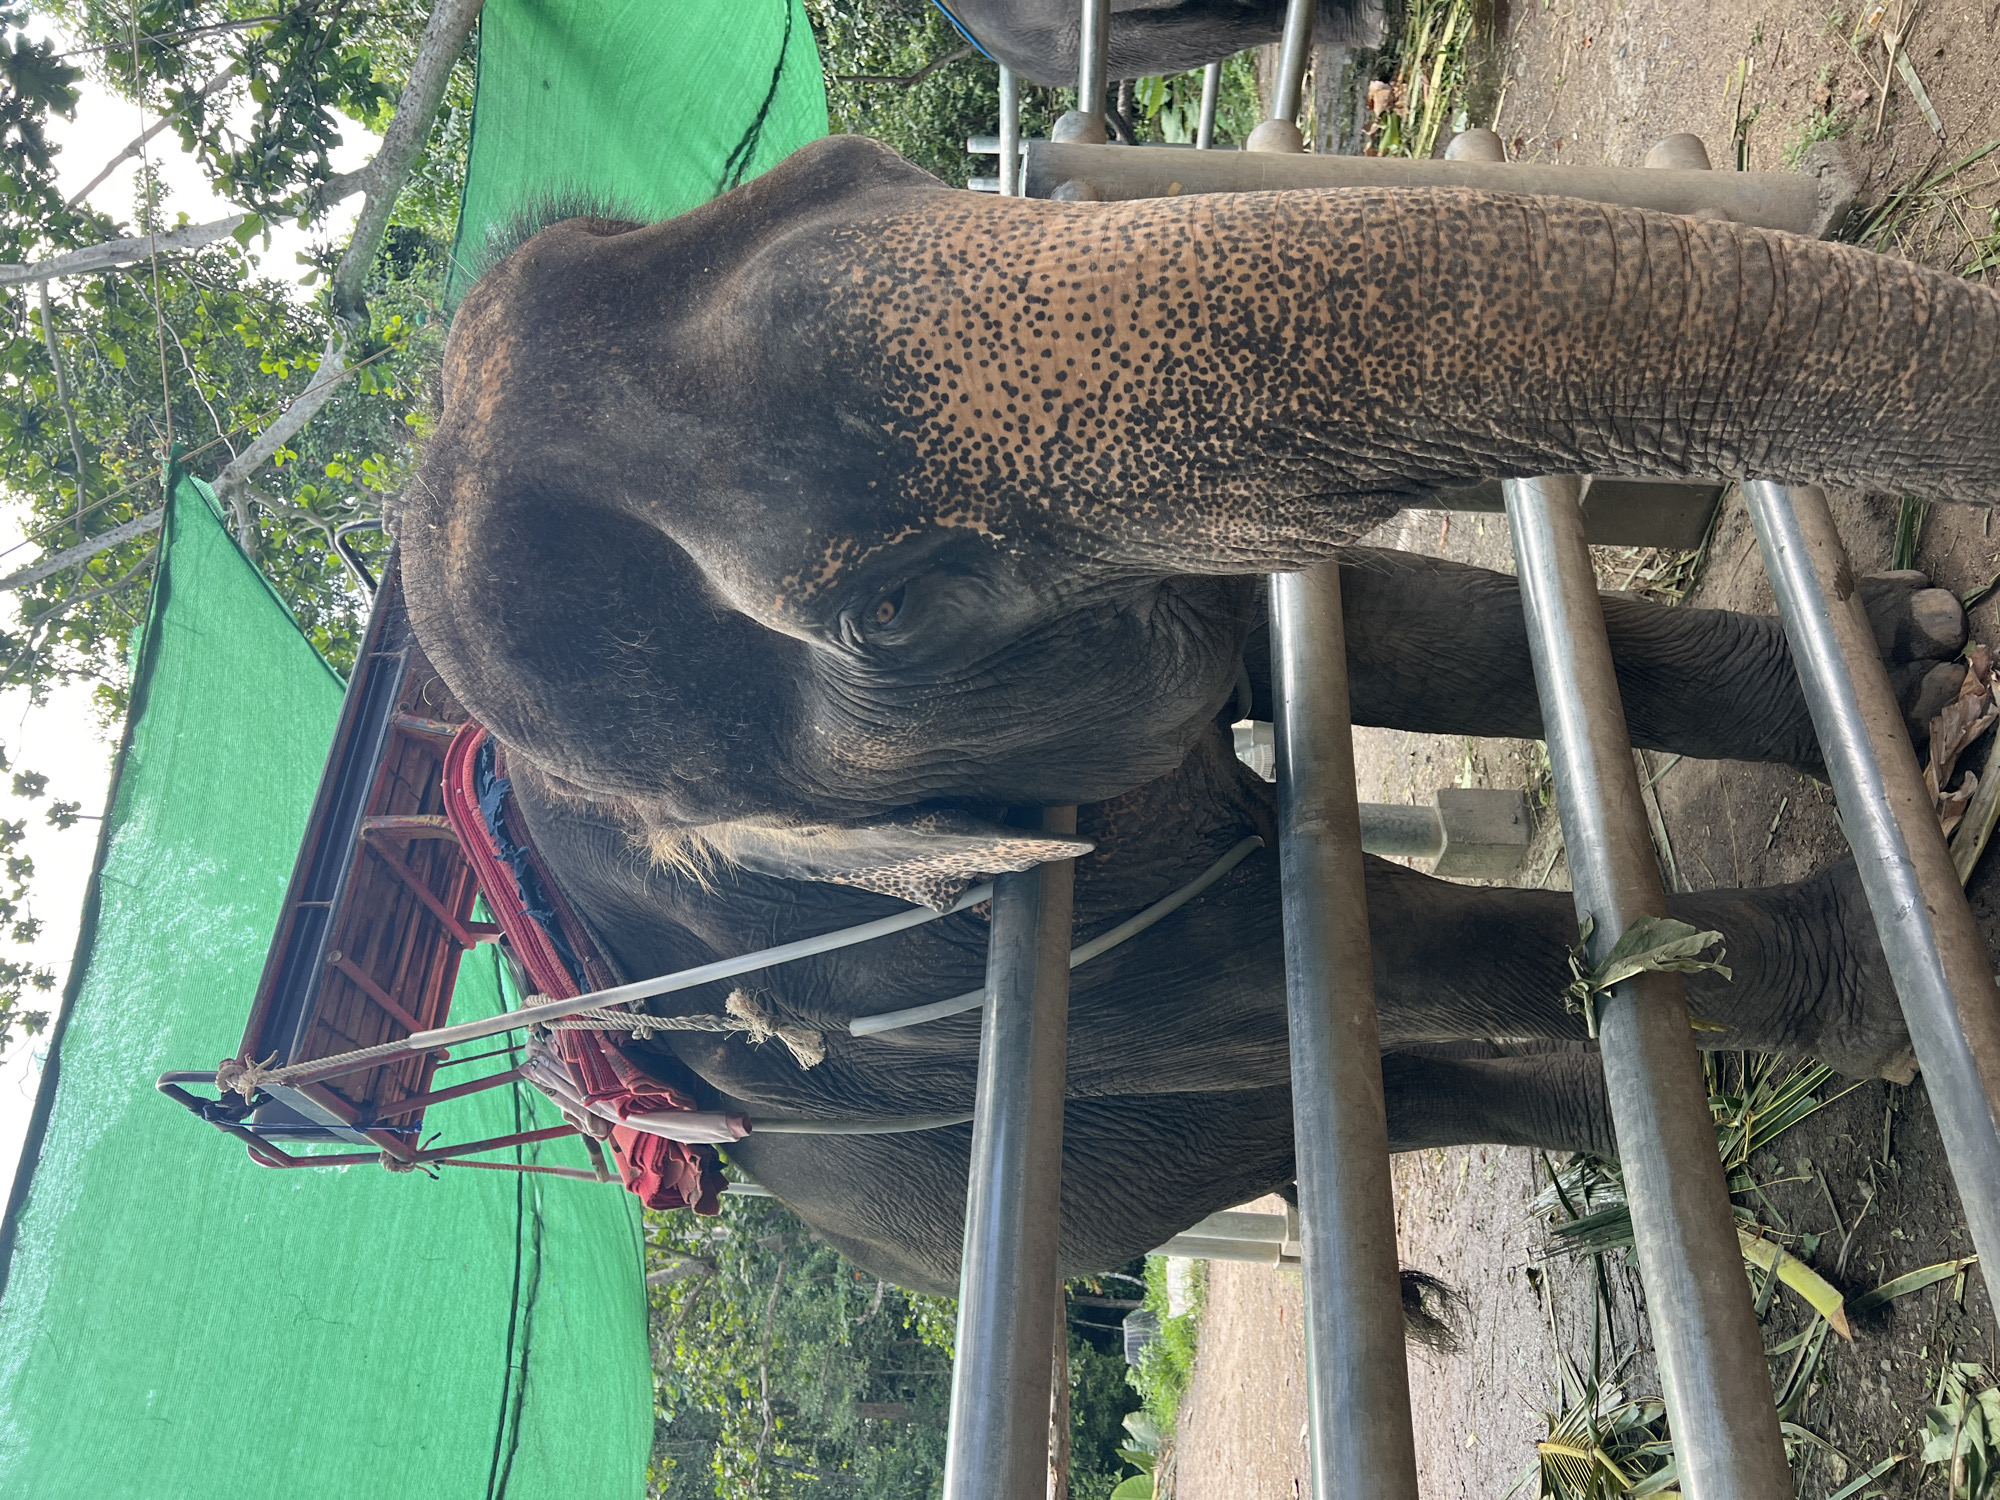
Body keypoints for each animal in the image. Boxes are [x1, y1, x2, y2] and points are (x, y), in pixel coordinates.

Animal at [401, 136, 2000, 1289]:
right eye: (895, 609)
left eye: (872, 165)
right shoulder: (872, 973)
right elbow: (1298, 953)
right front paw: (1891, 956)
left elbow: (1392, 625)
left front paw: (1914, 666)